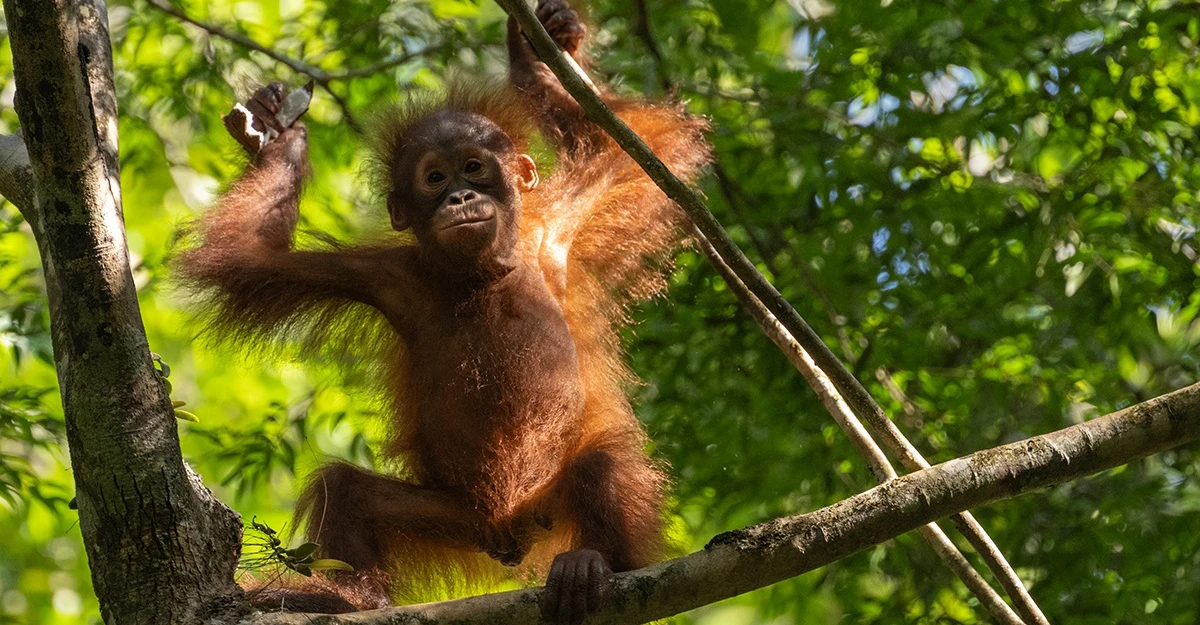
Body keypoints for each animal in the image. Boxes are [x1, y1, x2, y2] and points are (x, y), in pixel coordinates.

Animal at [177, 1, 709, 622]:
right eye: (434, 177)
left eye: (475, 167)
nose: (460, 196)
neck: (481, 273)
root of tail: (508, 528)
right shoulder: (380, 274)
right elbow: (248, 260)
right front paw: (278, 137)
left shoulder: (560, 225)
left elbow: (646, 150)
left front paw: (537, 52)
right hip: (454, 516)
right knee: (346, 490)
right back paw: (350, 594)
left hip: (546, 503)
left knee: (599, 463)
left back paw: (599, 563)